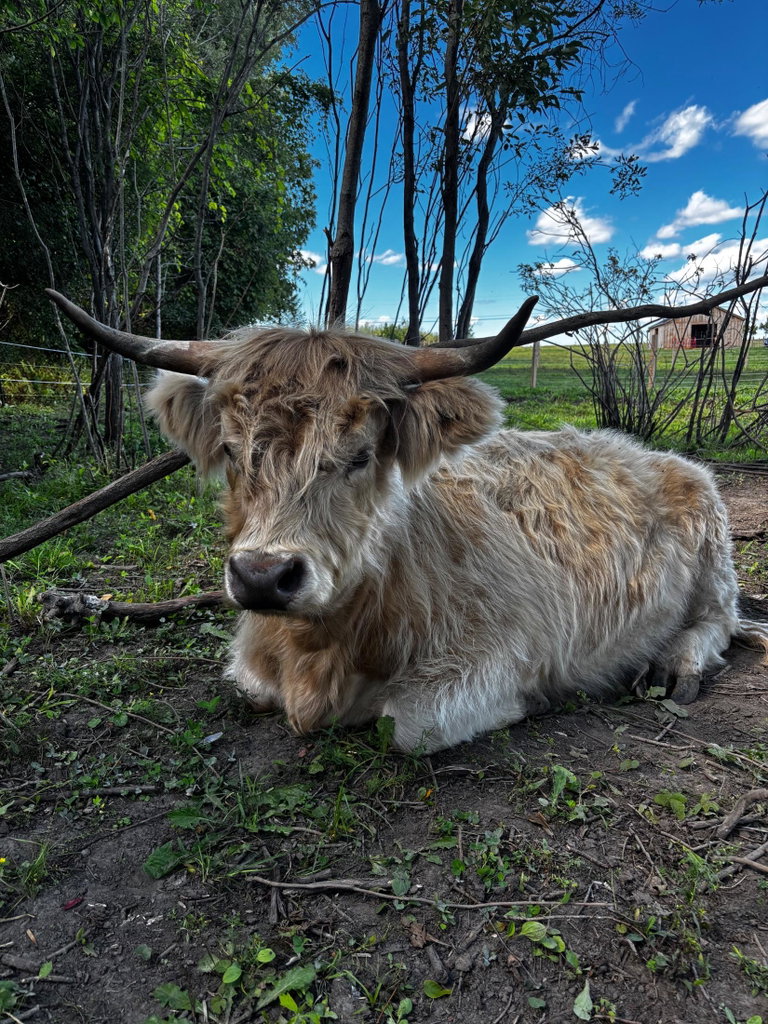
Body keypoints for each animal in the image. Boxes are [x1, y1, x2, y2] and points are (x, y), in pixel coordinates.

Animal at [47, 289, 768, 753]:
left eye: (361, 454)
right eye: (229, 450)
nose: (263, 576)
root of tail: (649, 451)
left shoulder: (498, 651)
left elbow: (407, 727)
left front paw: (535, 699)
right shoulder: (255, 658)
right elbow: (249, 685)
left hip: (714, 558)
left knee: (719, 623)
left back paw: (675, 665)